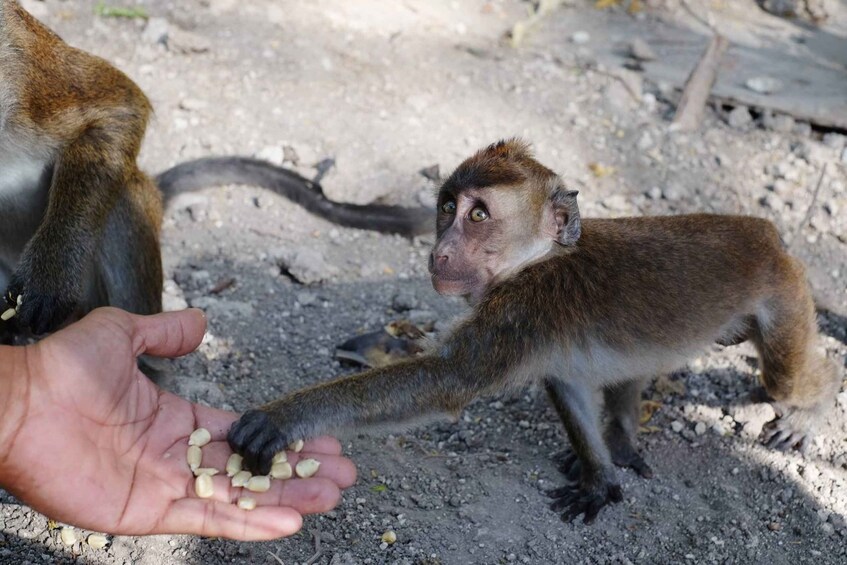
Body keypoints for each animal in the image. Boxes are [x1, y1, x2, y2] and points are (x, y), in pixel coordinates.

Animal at [227, 138, 840, 524]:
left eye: (478, 215)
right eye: (446, 207)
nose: (439, 250)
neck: (535, 261)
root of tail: (764, 232)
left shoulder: (523, 310)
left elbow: (447, 381)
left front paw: (281, 418)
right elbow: (566, 382)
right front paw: (599, 476)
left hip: (783, 294)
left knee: (788, 376)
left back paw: (812, 405)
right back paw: (619, 433)